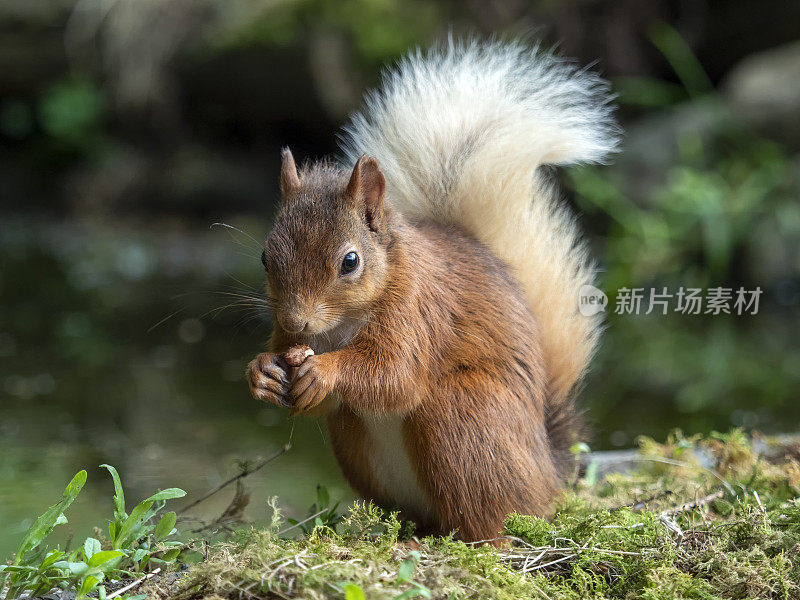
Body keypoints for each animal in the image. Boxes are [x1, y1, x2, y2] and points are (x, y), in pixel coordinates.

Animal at [244, 39, 620, 540]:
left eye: (350, 261)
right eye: (266, 258)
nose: (295, 320)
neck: (341, 327)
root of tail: (548, 473)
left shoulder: (420, 313)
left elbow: (395, 374)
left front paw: (324, 372)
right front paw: (262, 371)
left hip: (461, 418)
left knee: (487, 524)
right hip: (358, 441)